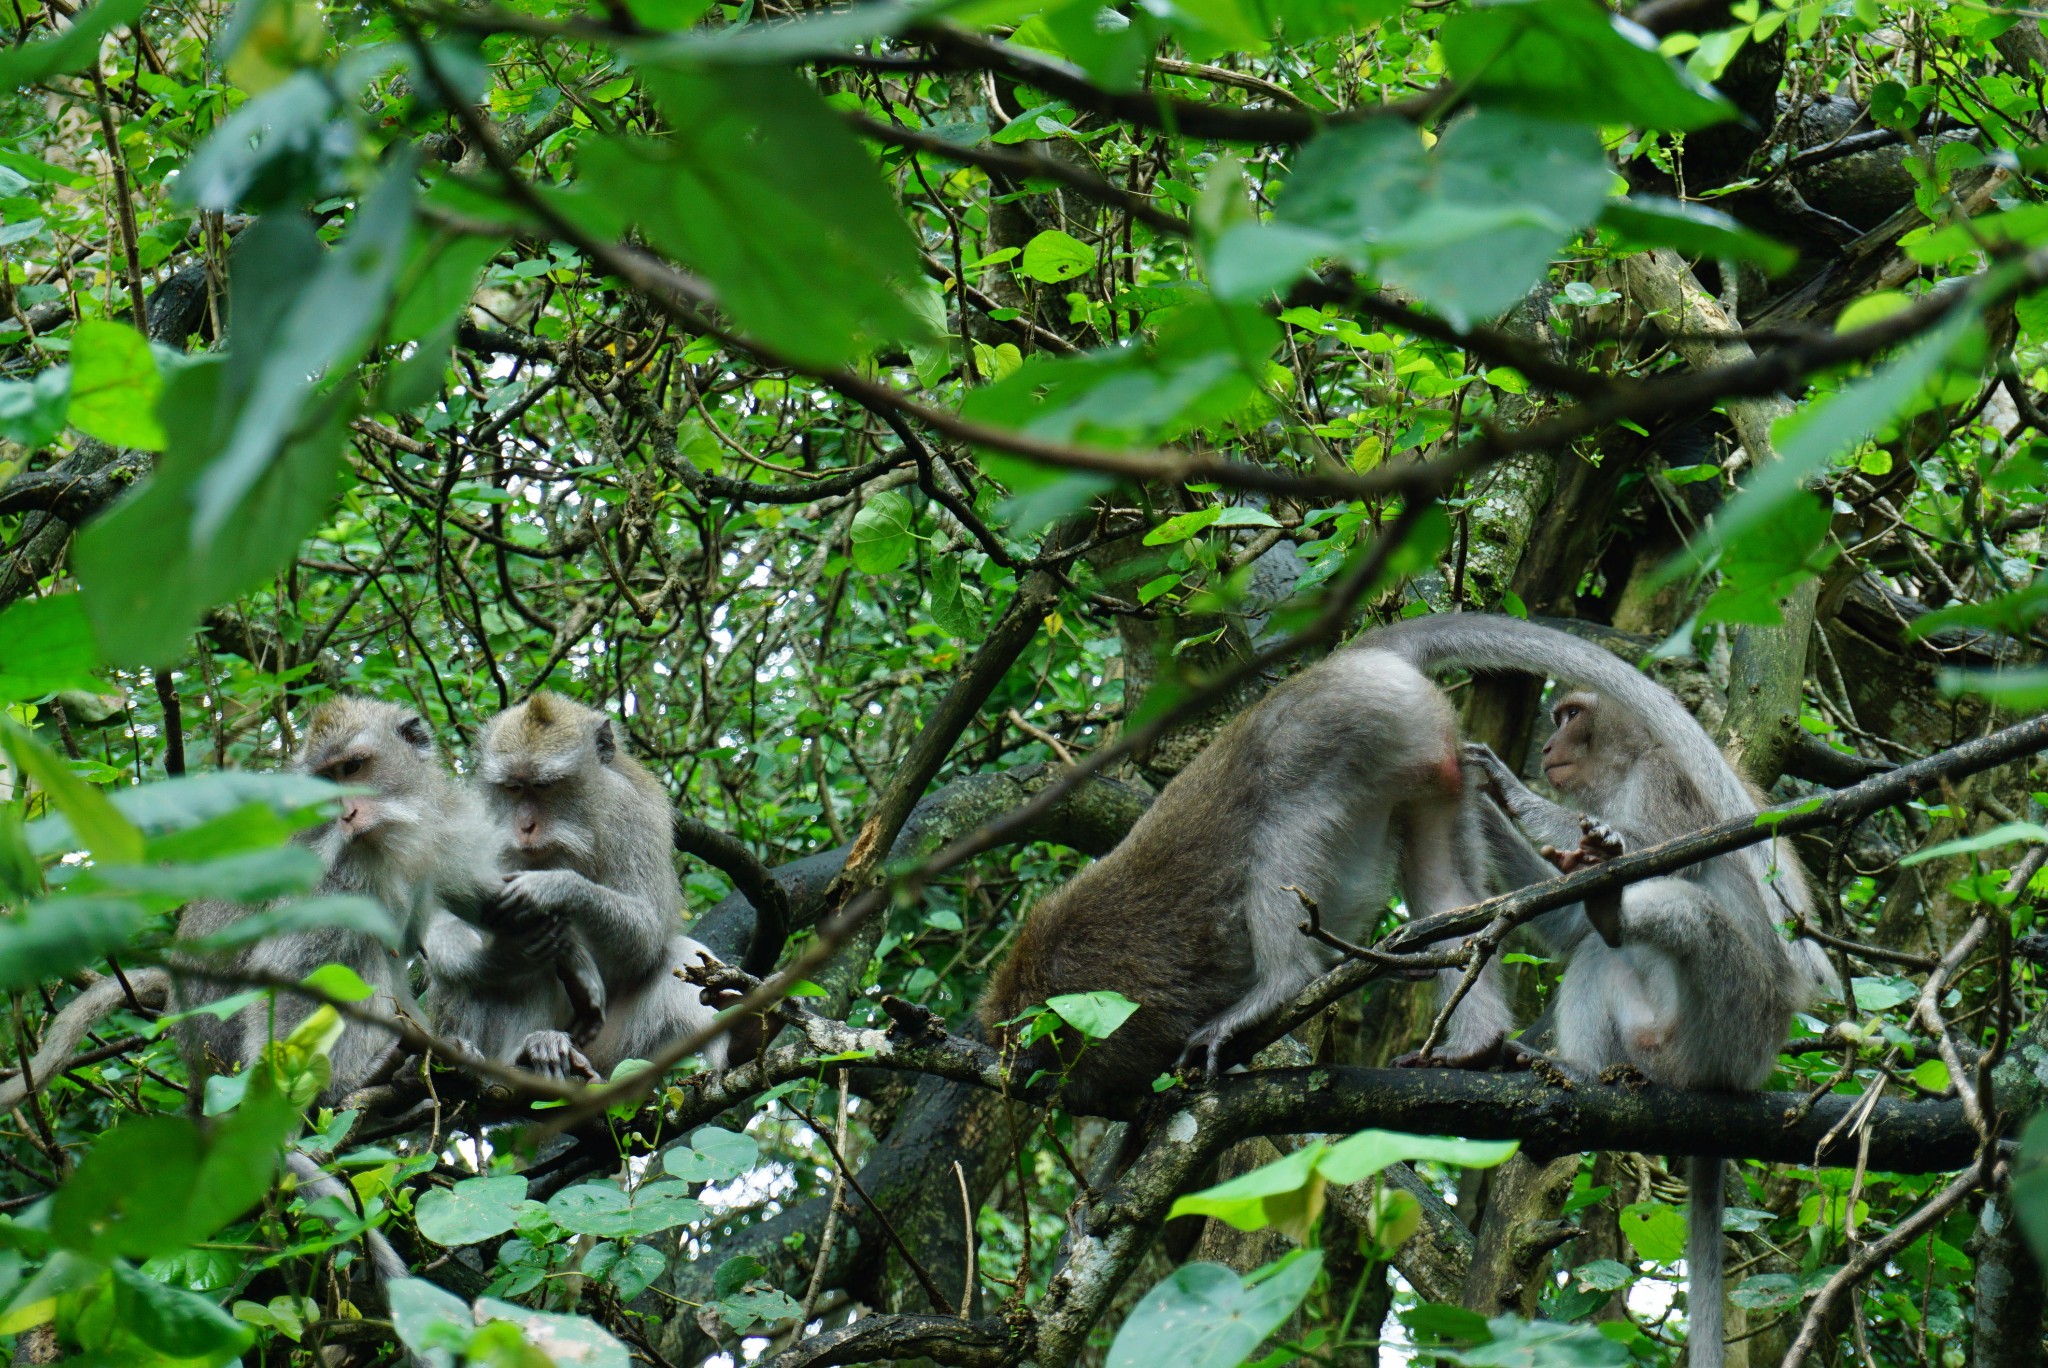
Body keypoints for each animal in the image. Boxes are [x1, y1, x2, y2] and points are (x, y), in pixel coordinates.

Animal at [421, 696, 729, 1081]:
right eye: (513, 787)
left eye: (544, 786)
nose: (525, 826)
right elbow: (440, 918)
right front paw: (508, 955)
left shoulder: (633, 813)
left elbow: (645, 936)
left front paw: (554, 887)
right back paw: (524, 1050)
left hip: (613, 1051)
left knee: (681, 954)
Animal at [974, 647, 1490, 1114]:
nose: (1017, 1069)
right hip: (1416, 759)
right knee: (1444, 887)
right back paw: (1473, 1038)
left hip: (1334, 730)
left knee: (1279, 821)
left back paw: (1282, 983)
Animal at [1368, 614, 1835, 1368]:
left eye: (1570, 716)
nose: (1547, 745)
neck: (1627, 766)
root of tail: (1737, 1076)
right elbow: (1566, 928)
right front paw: (1480, 795)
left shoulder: (1663, 783)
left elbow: (1658, 850)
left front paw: (1512, 789)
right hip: (1654, 1039)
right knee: (1597, 954)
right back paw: (1573, 1071)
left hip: (1733, 1021)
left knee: (1680, 908)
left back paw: (1612, 924)